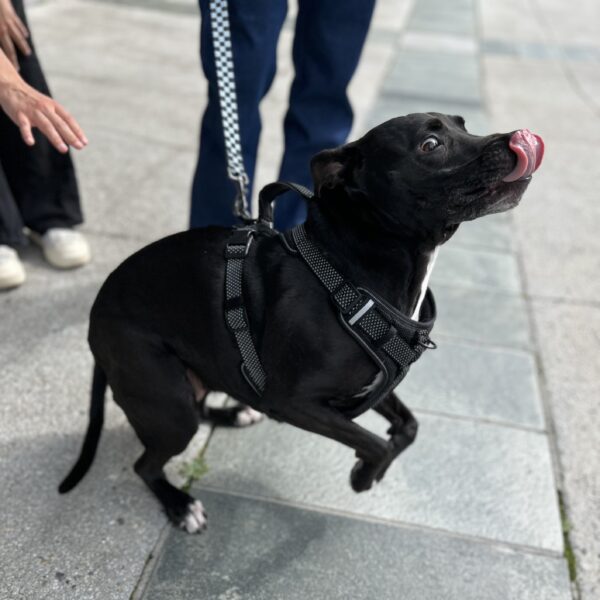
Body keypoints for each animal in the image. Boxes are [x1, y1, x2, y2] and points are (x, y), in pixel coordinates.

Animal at [59, 113, 544, 536]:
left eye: (464, 125)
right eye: (430, 144)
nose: (515, 138)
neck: (354, 268)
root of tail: (96, 314)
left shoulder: (374, 381)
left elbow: (408, 427)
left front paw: (375, 464)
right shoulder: (295, 403)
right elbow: (376, 442)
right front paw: (363, 476)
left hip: (195, 375)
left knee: (202, 405)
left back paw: (232, 414)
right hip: (168, 403)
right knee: (146, 463)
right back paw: (180, 505)